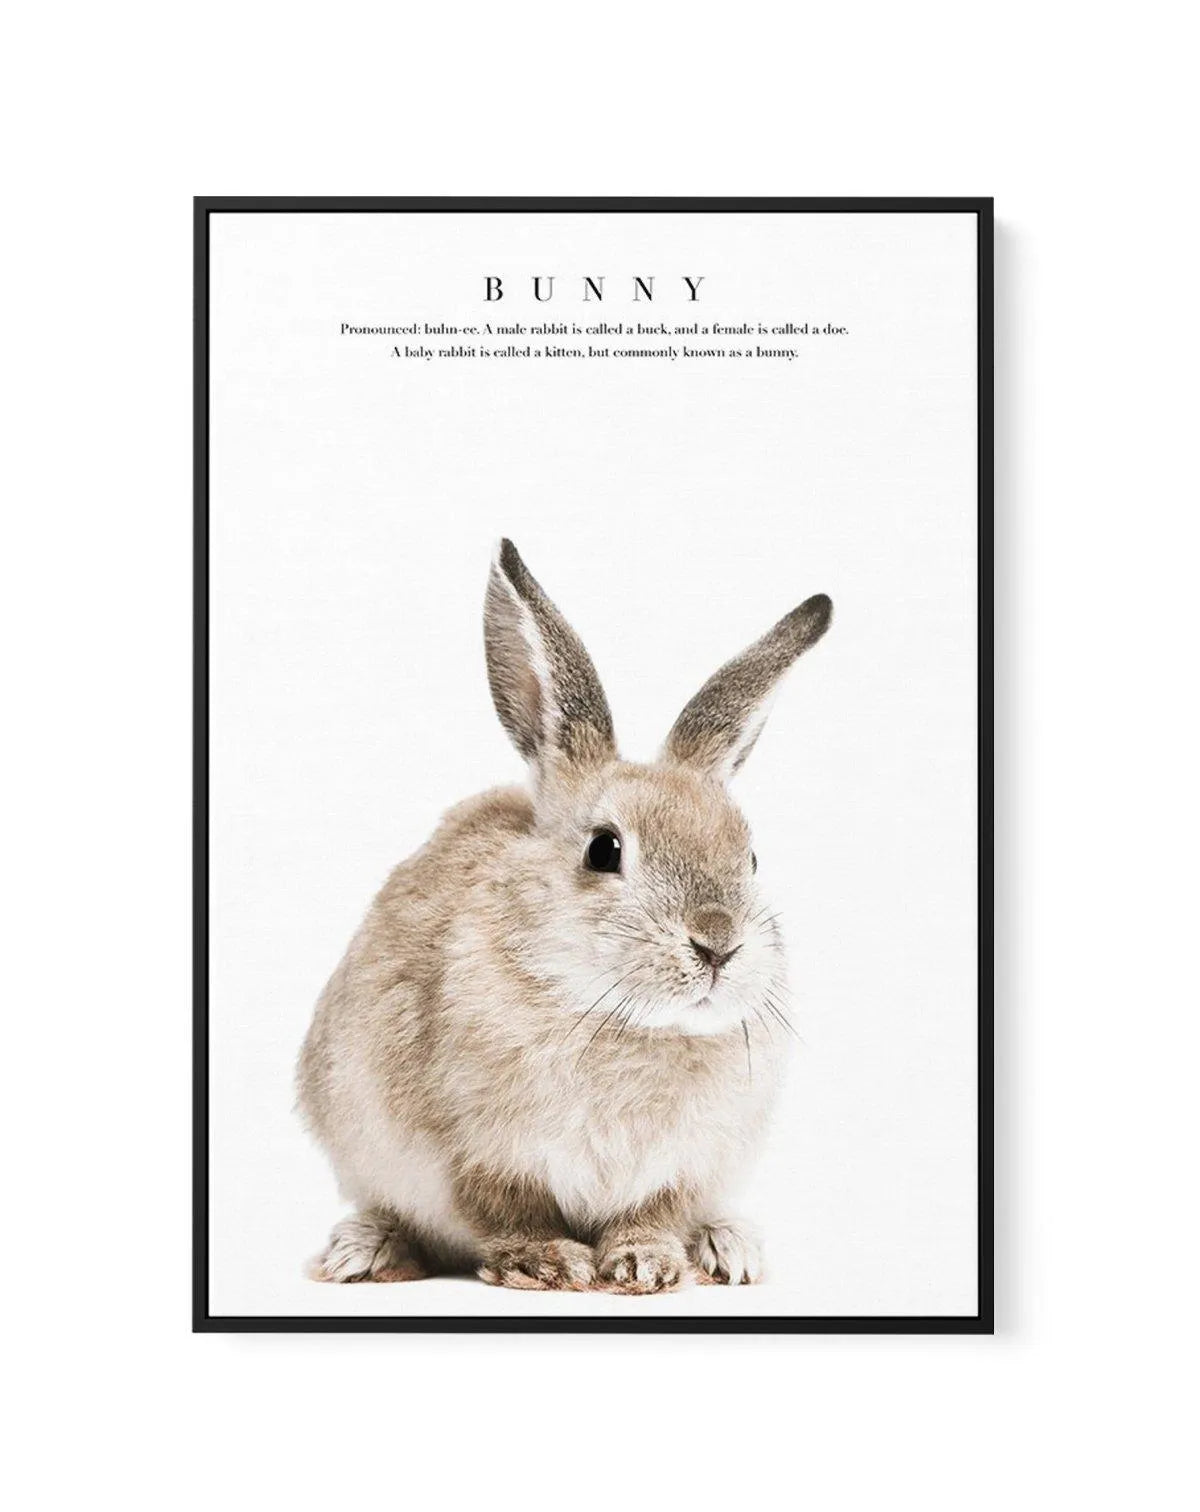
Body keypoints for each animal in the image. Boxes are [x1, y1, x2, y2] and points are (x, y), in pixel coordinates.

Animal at [297, 540, 832, 1293]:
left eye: (751, 858)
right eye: (604, 849)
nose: (718, 944)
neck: (624, 1022)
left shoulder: (682, 1168)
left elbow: (654, 1215)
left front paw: (647, 1265)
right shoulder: (476, 1155)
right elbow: (507, 1212)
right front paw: (547, 1262)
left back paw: (729, 1249)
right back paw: (364, 1252)